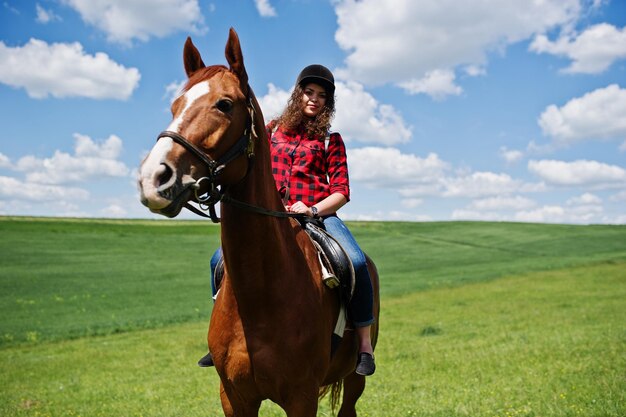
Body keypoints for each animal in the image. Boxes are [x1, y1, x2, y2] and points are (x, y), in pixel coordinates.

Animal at [138, 27, 378, 414]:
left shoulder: (301, 398)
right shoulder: (234, 397)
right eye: (175, 105)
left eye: (224, 104)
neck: (259, 297)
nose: (154, 177)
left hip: (355, 379)